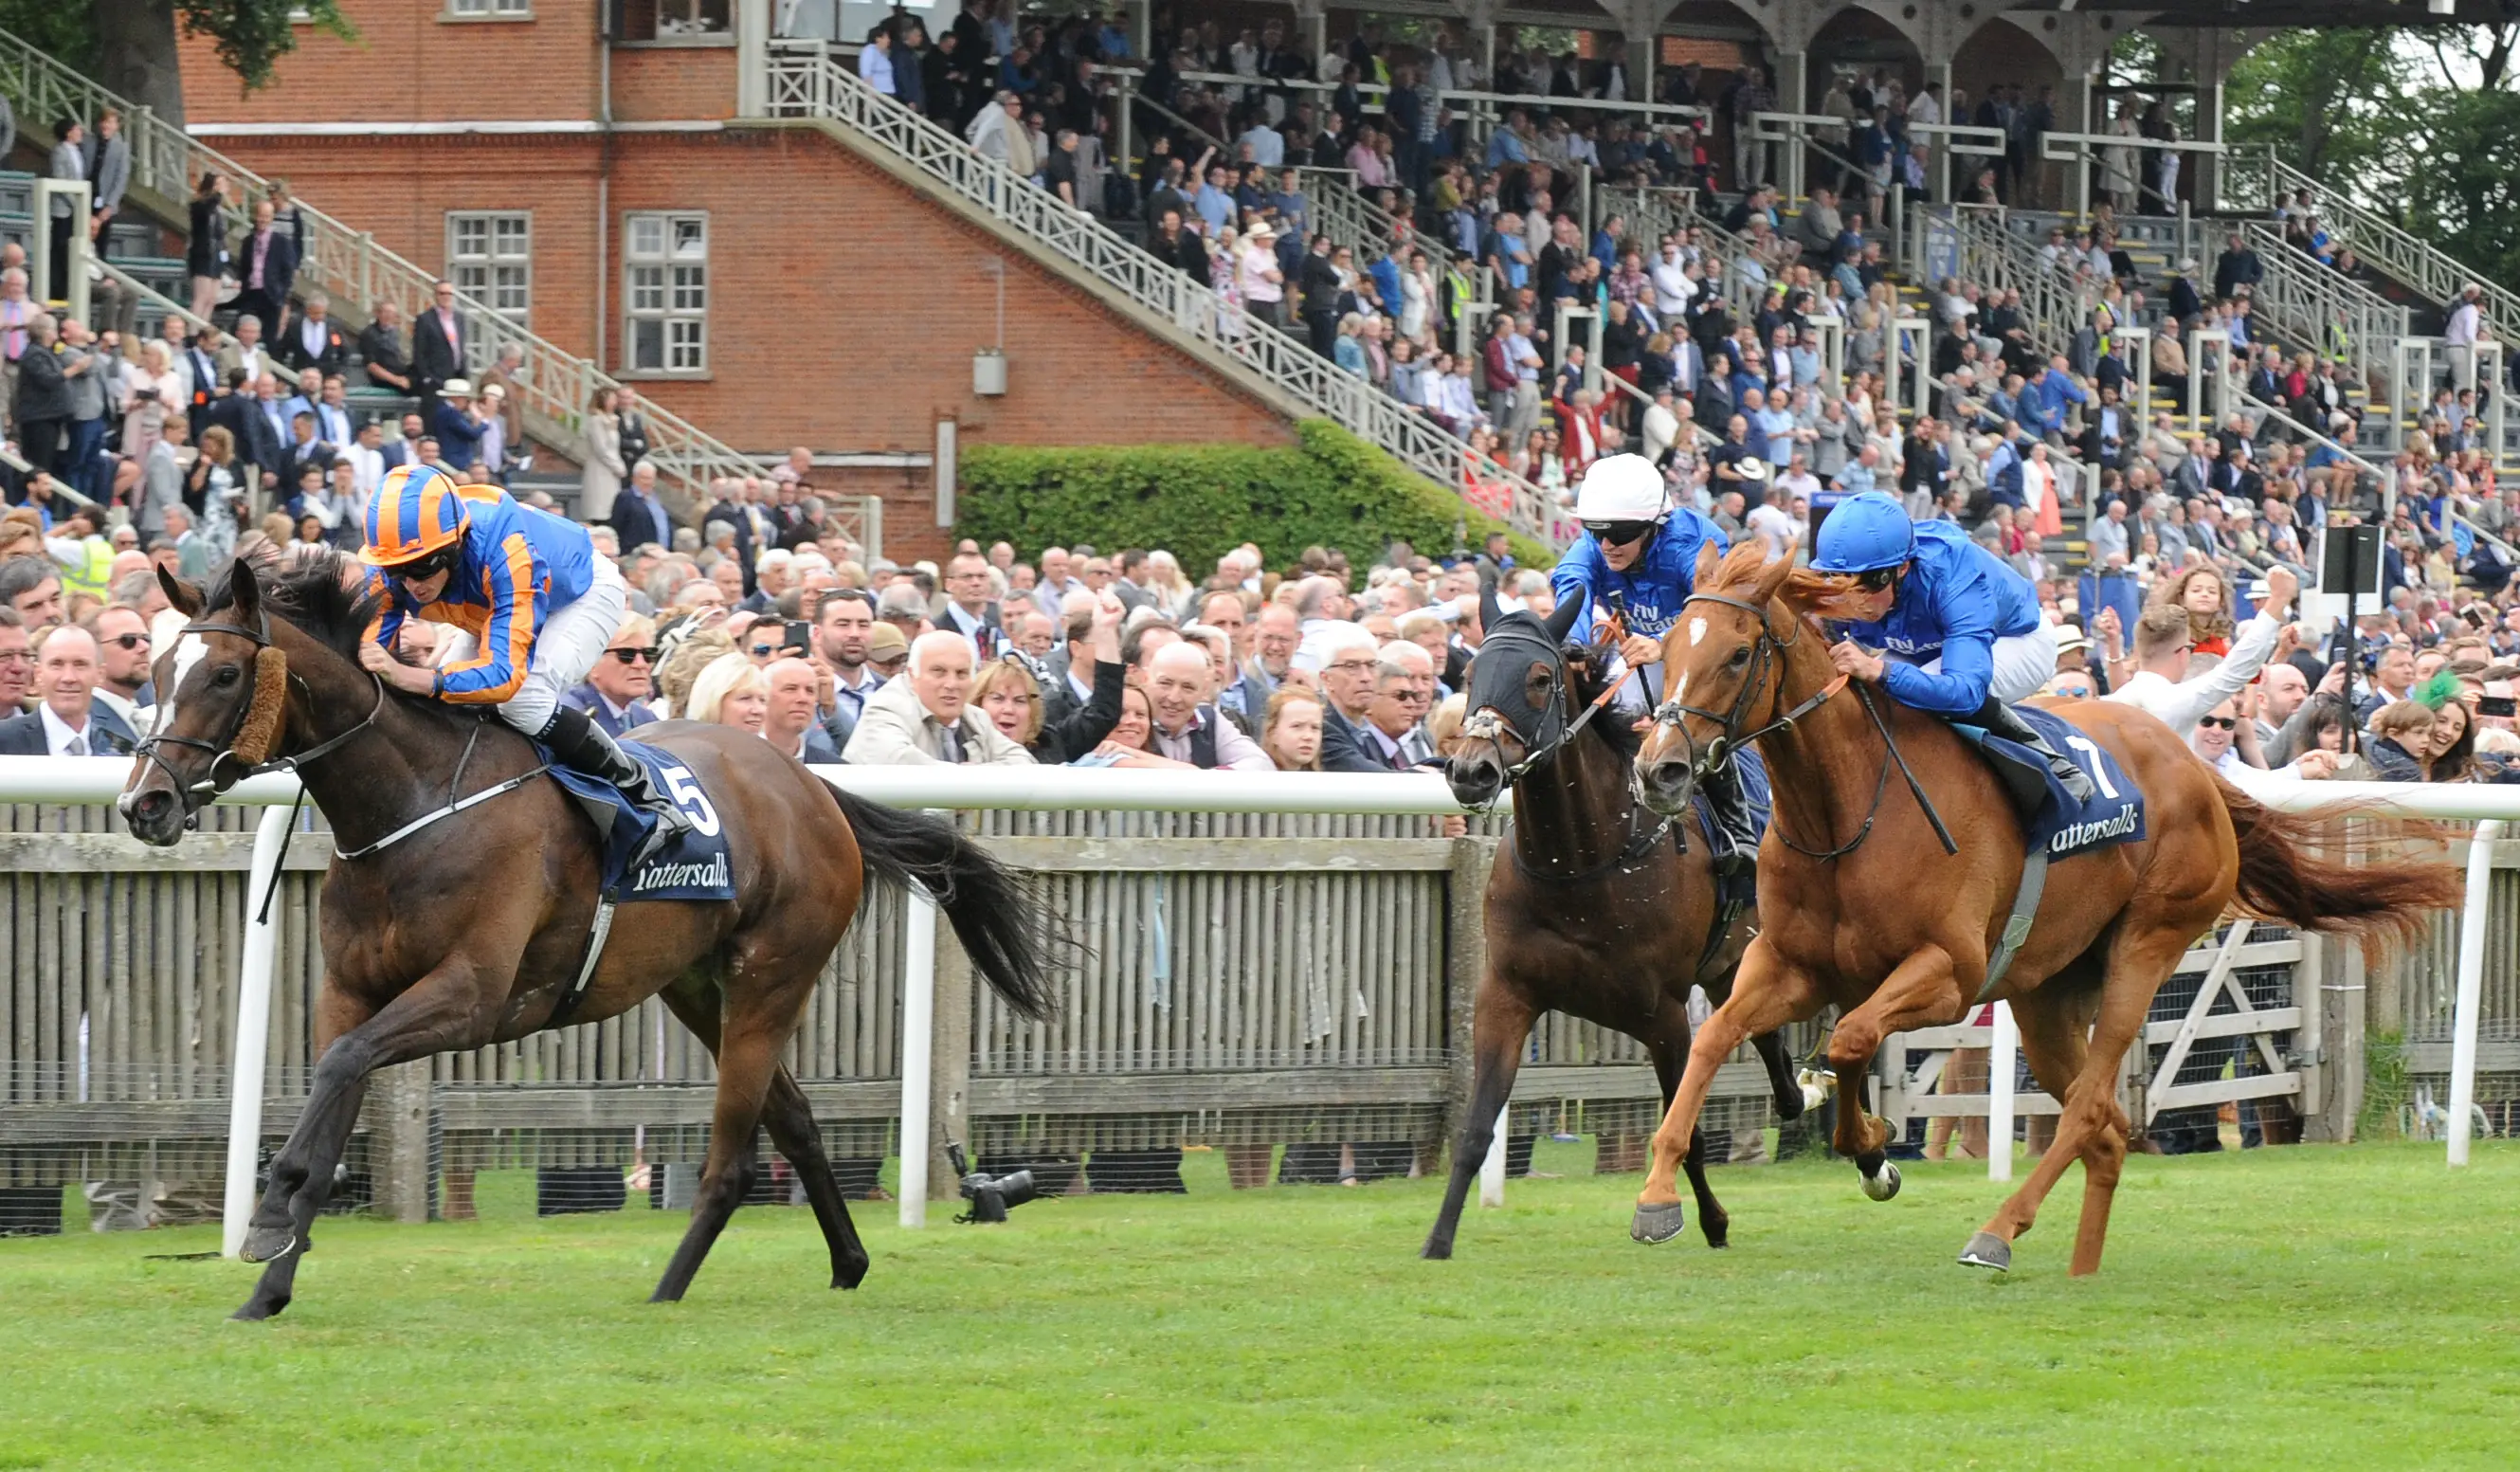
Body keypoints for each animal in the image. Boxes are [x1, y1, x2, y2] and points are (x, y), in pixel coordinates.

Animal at [118, 552, 1052, 1318]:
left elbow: (340, 1073)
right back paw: (848, 1261)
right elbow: (330, 1092)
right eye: (157, 669)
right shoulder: (350, 993)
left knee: (735, 1158)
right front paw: (268, 1280)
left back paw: (668, 1288)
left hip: (771, 975)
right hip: (695, 986)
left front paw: (265, 1221)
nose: (144, 803)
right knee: (793, 1118)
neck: (409, 805)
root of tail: (812, 785)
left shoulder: (471, 996)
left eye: (225, 672)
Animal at [1425, 590, 1811, 1259]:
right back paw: (1794, 1095)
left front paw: (1696, 1219)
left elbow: (1687, 1129)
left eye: (1540, 679)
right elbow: (1476, 1129)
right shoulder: (1506, 995)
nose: (1471, 771)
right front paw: (1439, 1239)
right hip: (1727, 966)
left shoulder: (1662, 1015)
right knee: (1760, 1030)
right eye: (1470, 676)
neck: (1578, 864)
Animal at [1621, 543, 2458, 1274]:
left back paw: (1995, 1232)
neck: (1846, 808)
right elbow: (1714, 1039)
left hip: (2146, 945)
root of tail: (2197, 768)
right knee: (2107, 1129)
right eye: (1664, 647)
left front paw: (1870, 1151)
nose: (1658, 770)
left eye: (1737, 654)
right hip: (2046, 991)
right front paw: (1659, 1197)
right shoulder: (1786, 962)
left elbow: (1852, 1039)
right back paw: (2078, 1268)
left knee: (2089, 1108)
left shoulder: (1949, 973)